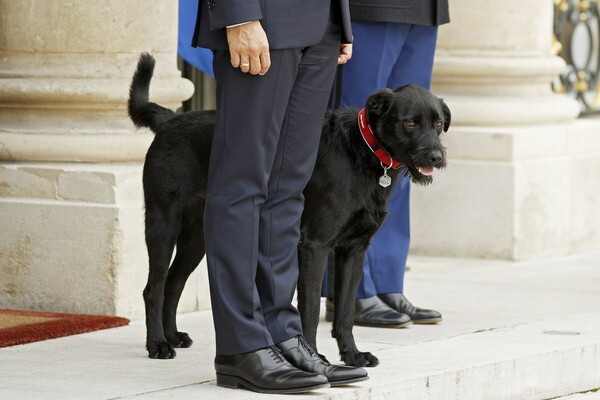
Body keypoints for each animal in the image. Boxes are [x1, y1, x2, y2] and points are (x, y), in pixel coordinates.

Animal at [131, 54, 450, 368]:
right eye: (410, 122)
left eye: (437, 123)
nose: (437, 157)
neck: (363, 151)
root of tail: (170, 120)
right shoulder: (314, 246)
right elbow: (309, 310)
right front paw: (315, 358)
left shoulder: (354, 250)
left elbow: (346, 311)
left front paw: (352, 355)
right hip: (162, 224)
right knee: (153, 288)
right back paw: (158, 344)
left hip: (198, 238)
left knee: (173, 283)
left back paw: (172, 336)